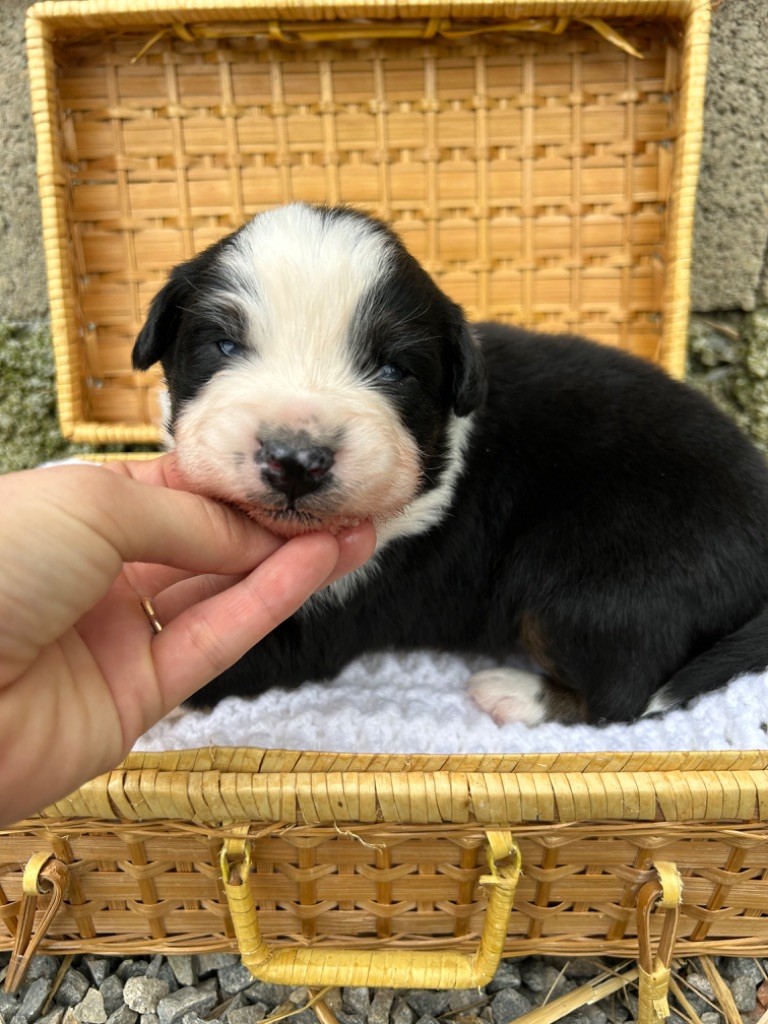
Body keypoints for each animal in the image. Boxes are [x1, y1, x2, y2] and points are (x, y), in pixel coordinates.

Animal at [132, 201, 768, 729]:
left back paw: (513, 692)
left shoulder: (327, 612)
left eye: (394, 369)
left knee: (622, 693)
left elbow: (219, 668)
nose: (295, 461)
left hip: (594, 575)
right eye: (224, 345)